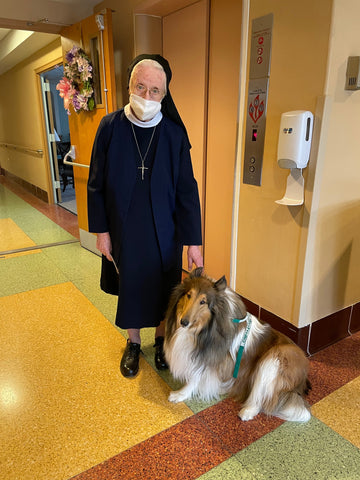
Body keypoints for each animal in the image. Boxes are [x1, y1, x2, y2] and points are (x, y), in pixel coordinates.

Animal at [165, 268, 310, 422]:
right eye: (188, 295)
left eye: (203, 301)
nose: (183, 322)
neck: (203, 329)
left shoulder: (209, 358)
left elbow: (194, 377)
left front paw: (180, 394)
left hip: (275, 359)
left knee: (264, 397)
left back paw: (247, 411)